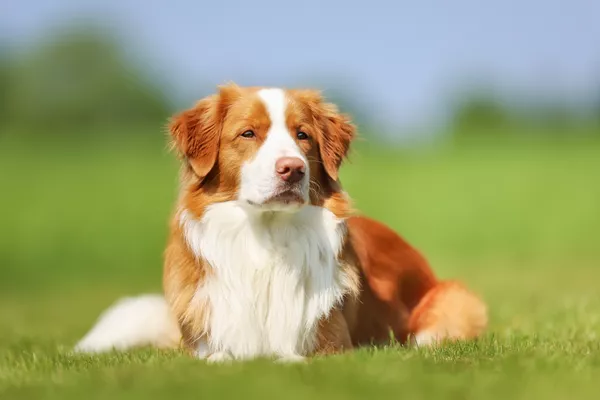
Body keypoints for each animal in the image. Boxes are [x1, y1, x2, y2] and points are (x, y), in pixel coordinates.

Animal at [75, 84, 488, 362]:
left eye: (302, 135)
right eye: (248, 133)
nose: (293, 169)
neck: (267, 239)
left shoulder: (333, 343)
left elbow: (294, 355)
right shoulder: (207, 342)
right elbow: (219, 357)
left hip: (454, 302)